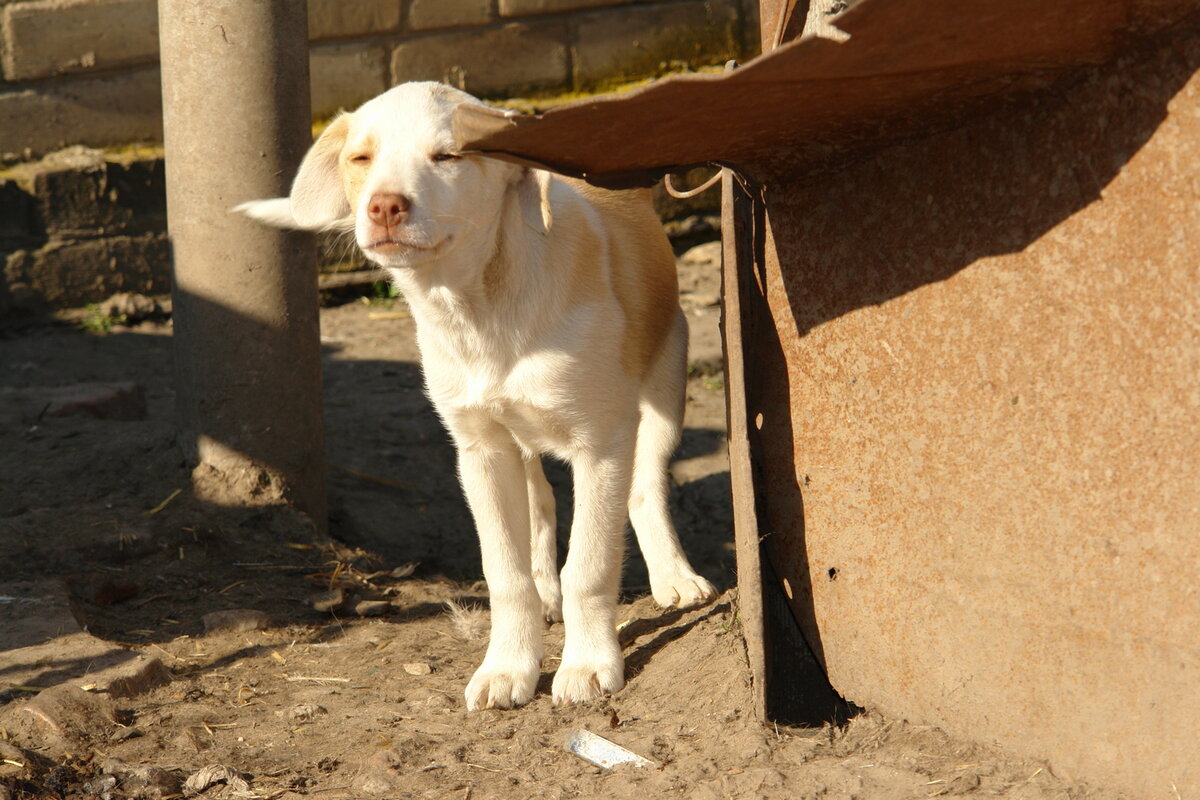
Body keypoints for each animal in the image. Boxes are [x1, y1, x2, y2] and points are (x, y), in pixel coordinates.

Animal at [237, 81, 717, 709]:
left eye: (448, 156)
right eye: (361, 158)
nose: (384, 206)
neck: (481, 306)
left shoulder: (602, 441)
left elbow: (589, 564)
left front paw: (587, 664)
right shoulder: (481, 450)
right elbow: (504, 573)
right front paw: (509, 666)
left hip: (664, 382)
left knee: (644, 486)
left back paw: (674, 577)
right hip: (520, 434)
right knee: (542, 501)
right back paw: (548, 592)